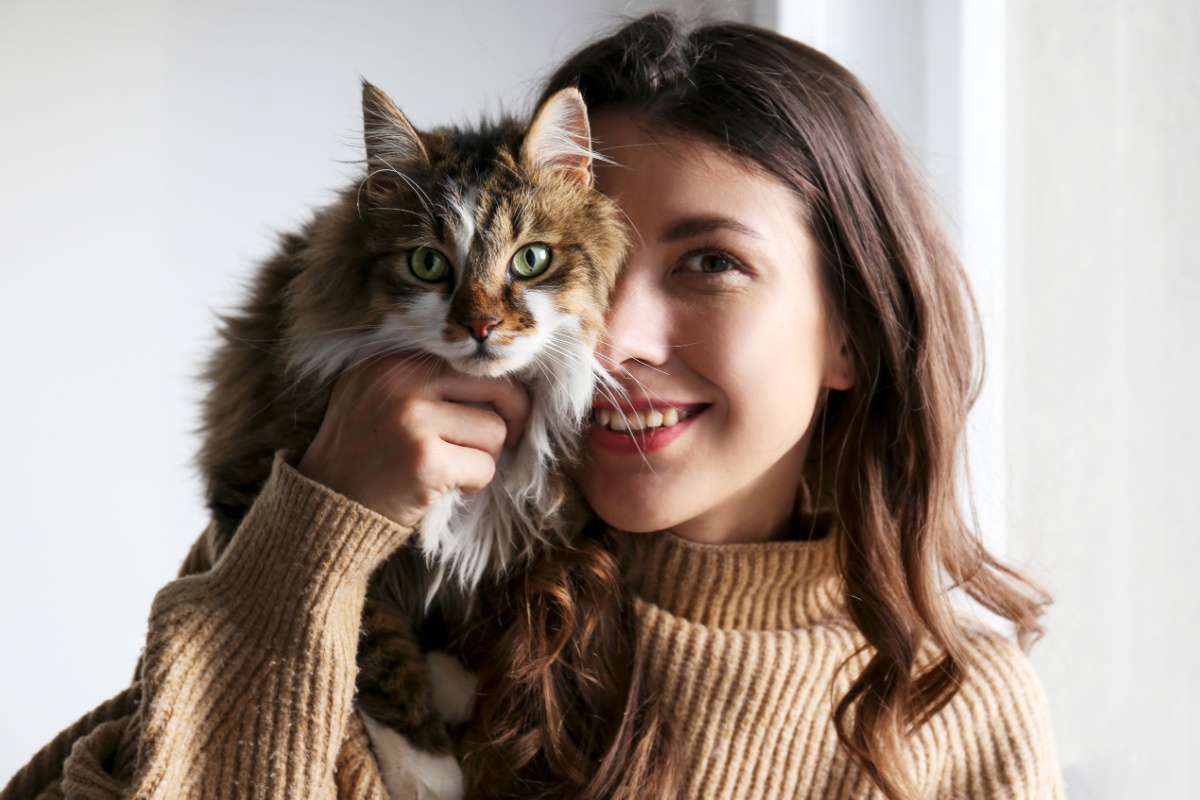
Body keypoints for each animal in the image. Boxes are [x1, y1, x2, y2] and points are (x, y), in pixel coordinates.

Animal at [194, 82, 628, 800]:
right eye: (428, 263)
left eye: (531, 259)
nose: (480, 325)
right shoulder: (256, 471)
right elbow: (370, 640)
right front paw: (430, 770)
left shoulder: (536, 513)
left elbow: (477, 593)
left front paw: (453, 680)